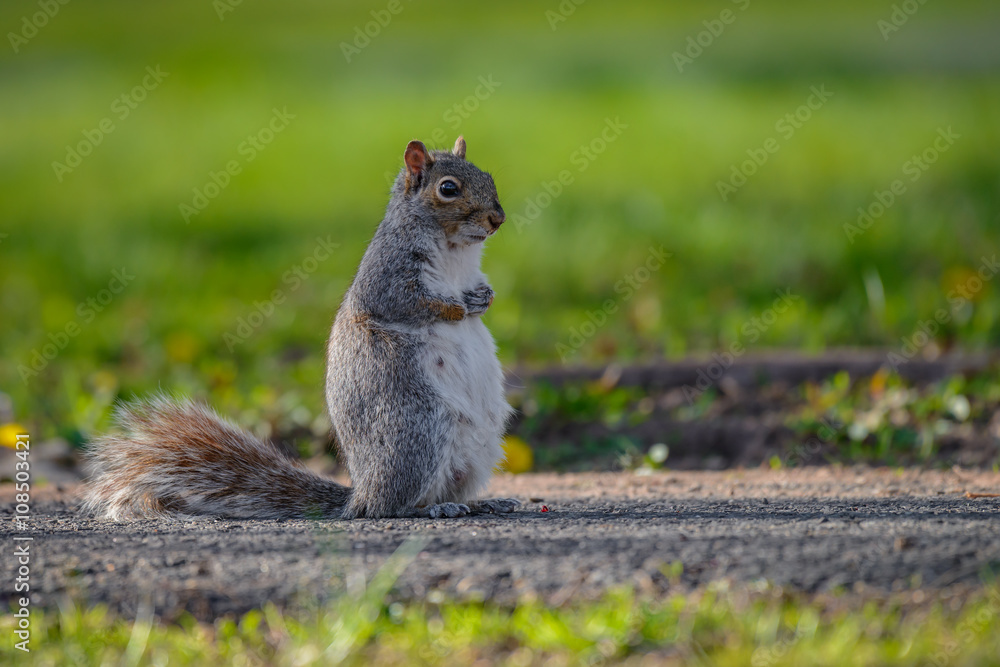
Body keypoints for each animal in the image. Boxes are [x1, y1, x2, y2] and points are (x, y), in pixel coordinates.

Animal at [83, 136, 520, 520]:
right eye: (448, 188)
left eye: (489, 176)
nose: (497, 219)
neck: (456, 252)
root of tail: (359, 495)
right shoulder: (386, 277)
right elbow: (408, 303)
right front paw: (456, 307)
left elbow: (481, 292)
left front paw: (483, 299)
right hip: (418, 430)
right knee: (392, 506)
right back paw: (428, 508)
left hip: (476, 449)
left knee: (447, 488)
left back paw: (483, 502)